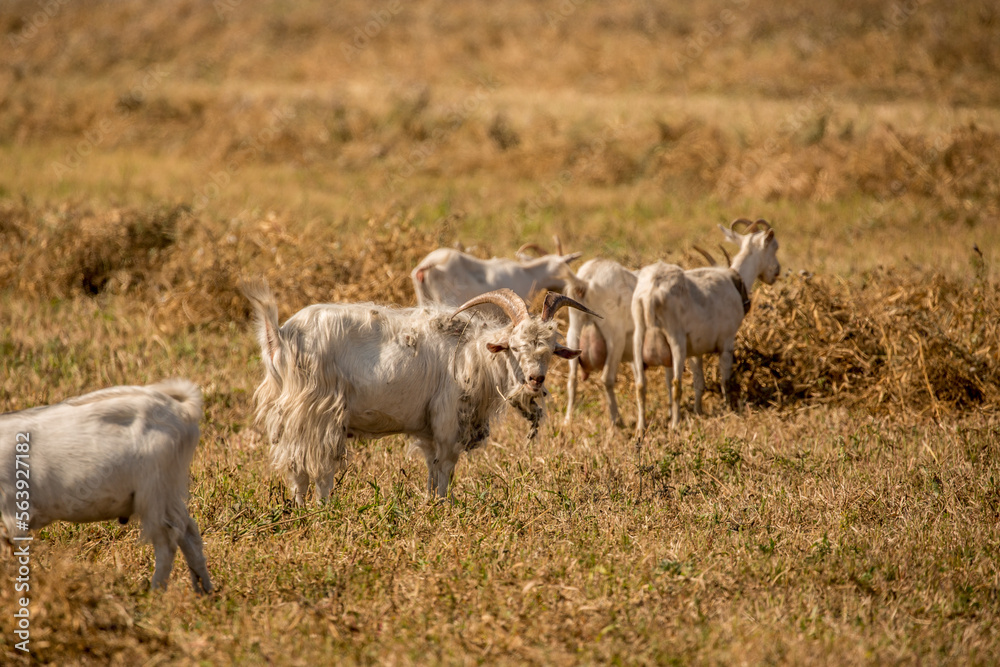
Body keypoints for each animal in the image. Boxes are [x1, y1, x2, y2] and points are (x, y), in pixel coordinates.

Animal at [0, 379, 212, 594]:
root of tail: (181, 410)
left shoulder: (14, 511)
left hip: (155, 494)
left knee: (167, 541)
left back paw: (156, 592)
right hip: (168, 494)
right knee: (189, 534)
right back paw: (204, 590)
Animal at [242, 280, 596, 504]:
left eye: (550, 350)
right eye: (515, 346)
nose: (535, 379)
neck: (475, 353)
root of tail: (280, 335)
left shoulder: (428, 430)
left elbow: (431, 468)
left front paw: (429, 504)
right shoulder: (448, 421)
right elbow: (445, 470)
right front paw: (443, 509)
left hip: (291, 415)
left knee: (296, 466)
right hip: (317, 410)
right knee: (315, 469)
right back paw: (319, 511)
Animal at [563, 258, 639, 427]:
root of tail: (584, 283)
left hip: (573, 332)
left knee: (571, 379)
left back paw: (567, 421)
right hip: (615, 337)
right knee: (607, 378)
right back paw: (617, 421)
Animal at [632, 219, 780, 431]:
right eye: (775, 246)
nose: (777, 271)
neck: (736, 281)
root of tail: (651, 294)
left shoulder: (696, 351)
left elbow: (698, 382)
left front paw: (698, 412)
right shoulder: (727, 342)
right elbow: (725, 379)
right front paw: (728, 409)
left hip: (638, 338)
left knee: (641, 385)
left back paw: (641, 429)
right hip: (676, 340)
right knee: (676, 384)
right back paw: (675, 425)